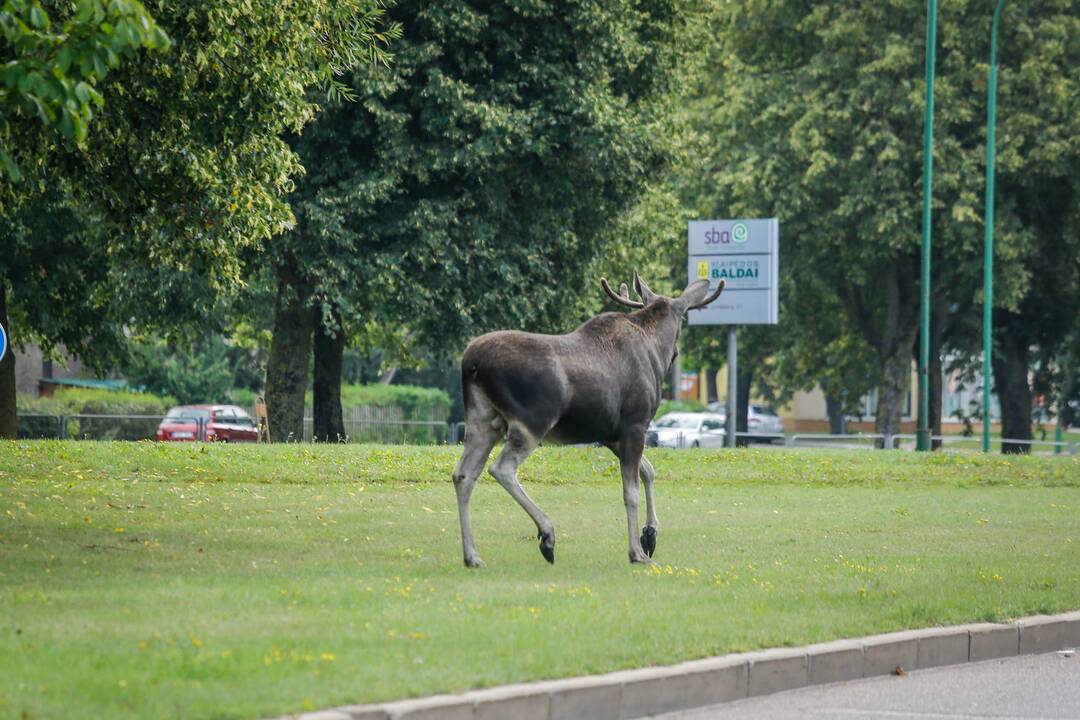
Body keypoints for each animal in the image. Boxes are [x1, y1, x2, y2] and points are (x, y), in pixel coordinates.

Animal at [451, 273, 721, 565]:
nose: (676, 354)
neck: (655, 351)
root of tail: (470, 363)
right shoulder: (635, 424)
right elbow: (631, 491)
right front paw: (637, 552)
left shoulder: (611, 435)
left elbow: (648, 470)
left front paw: (650, 534)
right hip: (532, 422)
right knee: (501, 469)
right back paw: (547, 534)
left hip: (482, 422)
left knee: (463, 474)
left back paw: (472, 556)